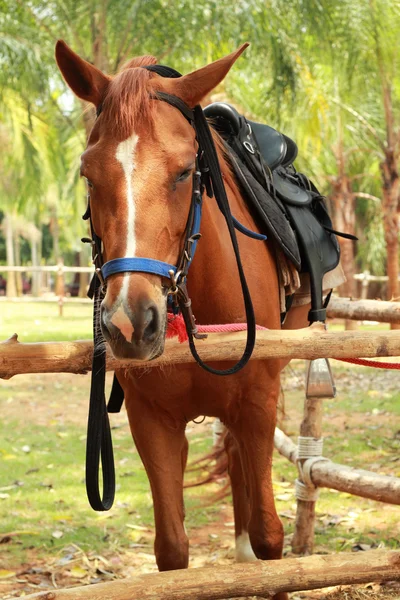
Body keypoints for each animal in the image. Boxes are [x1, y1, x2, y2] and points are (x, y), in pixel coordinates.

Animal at [56, 39, 312, 596]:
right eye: (88, 174)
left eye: (183, 172)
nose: (131, 322)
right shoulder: (152, 419)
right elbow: (171, 552)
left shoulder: (257, 404)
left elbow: (271, 538)